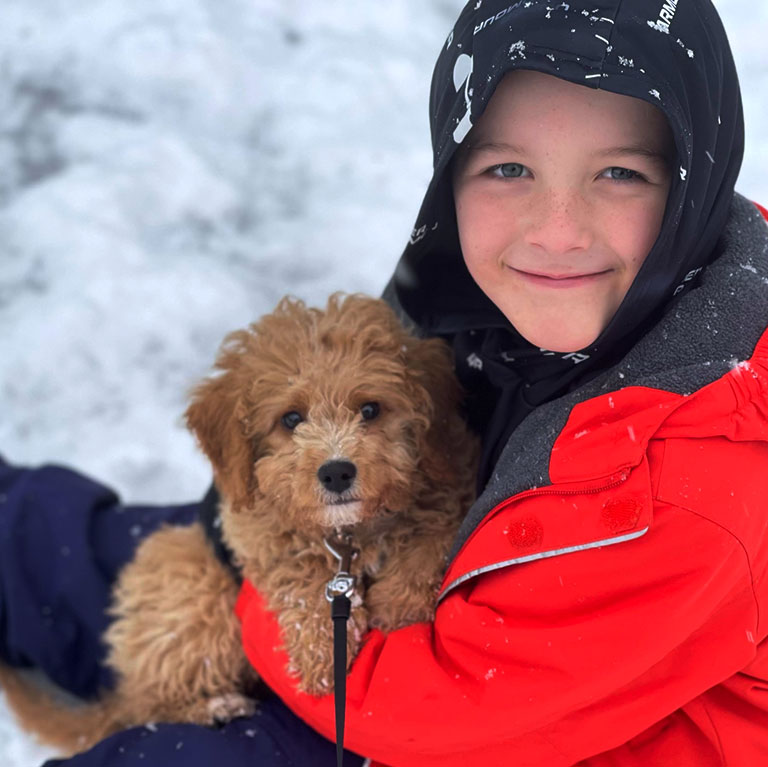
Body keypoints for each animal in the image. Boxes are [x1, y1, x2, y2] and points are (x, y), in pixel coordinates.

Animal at [0, 296, 476, 756]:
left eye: (371, 409)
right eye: (291, 418)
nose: (336, 472)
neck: (349, 533)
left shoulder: (449, 486)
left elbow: (429, 542)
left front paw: (400, 611)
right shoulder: (249, 525)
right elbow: (297, 569)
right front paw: (320, 650)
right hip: (194, 585)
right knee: (149, 701)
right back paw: (213, 708)